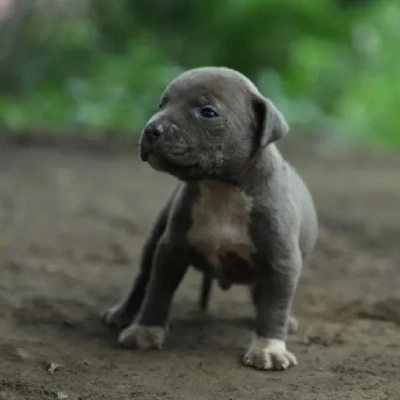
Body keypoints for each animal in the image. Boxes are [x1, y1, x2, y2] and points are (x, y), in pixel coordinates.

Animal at [103, 67, 318, 370]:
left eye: (208, 112)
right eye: (162, 104)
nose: (151, 129)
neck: (220, 189)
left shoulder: (282, 262)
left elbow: (274, 307)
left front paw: (268, 347)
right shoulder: (171, 248)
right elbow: (158, 290)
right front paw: (145, 330)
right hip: (155, 237)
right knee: (143, 275)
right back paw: (123, 313)